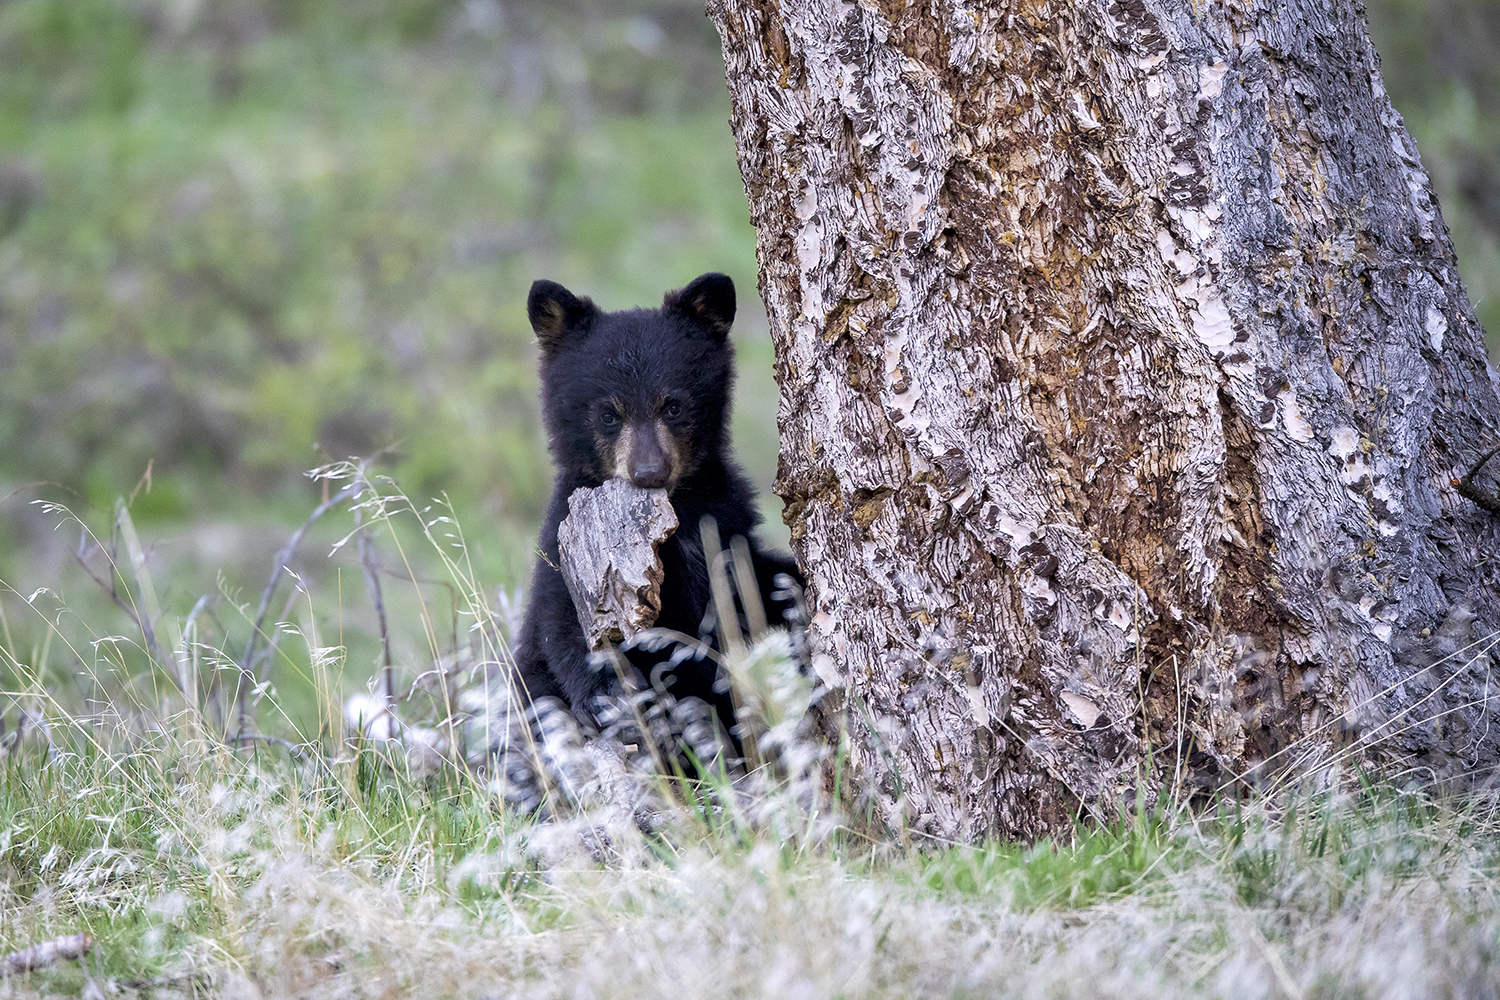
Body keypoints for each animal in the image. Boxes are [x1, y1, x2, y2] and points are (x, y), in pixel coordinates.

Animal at [512, 272, 801, 754]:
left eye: (674, 405)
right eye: (608, 414)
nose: (649, 472)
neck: (671, 515)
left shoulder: (722, 524)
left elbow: (751, 585)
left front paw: (796, 590)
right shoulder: (563, 542)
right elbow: (562, 622)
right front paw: (606, 698)